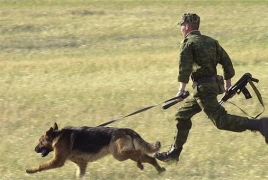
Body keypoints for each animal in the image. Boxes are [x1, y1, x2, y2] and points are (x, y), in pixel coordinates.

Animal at [27, 123, 165, 178]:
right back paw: (160, 170)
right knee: (151, 158)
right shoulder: (82, 164)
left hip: (119, 155)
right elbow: (79, 176)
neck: (57, 135)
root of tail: (126, 129)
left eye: (40, 141)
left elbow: (41, 165)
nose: (34, 149)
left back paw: (140, 165)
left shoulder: (57, 161)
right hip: (124, 153)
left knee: (138, 154)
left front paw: (30, 170)